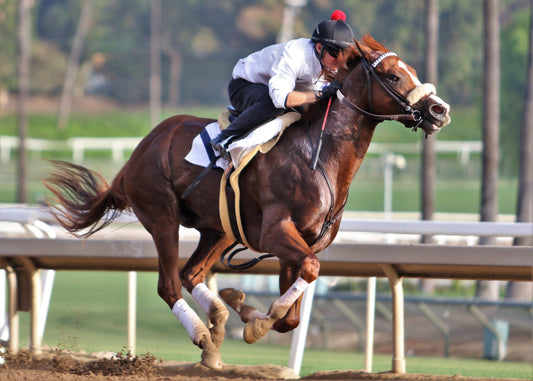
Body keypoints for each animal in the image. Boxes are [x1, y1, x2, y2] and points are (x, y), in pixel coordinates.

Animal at [44, 35, 448, 368]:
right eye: (393, 76)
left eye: (412, 72)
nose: (439, 110)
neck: (319, 157)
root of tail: (137, 153)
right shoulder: (275, 232)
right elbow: (309, 272)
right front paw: (255, 320)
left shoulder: (297, 244)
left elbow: (292, 316)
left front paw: (247, 310)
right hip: (162, 217)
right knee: (169, 284)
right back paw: (203, 334)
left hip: (218, 228)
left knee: (191, 273)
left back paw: (219, 321)